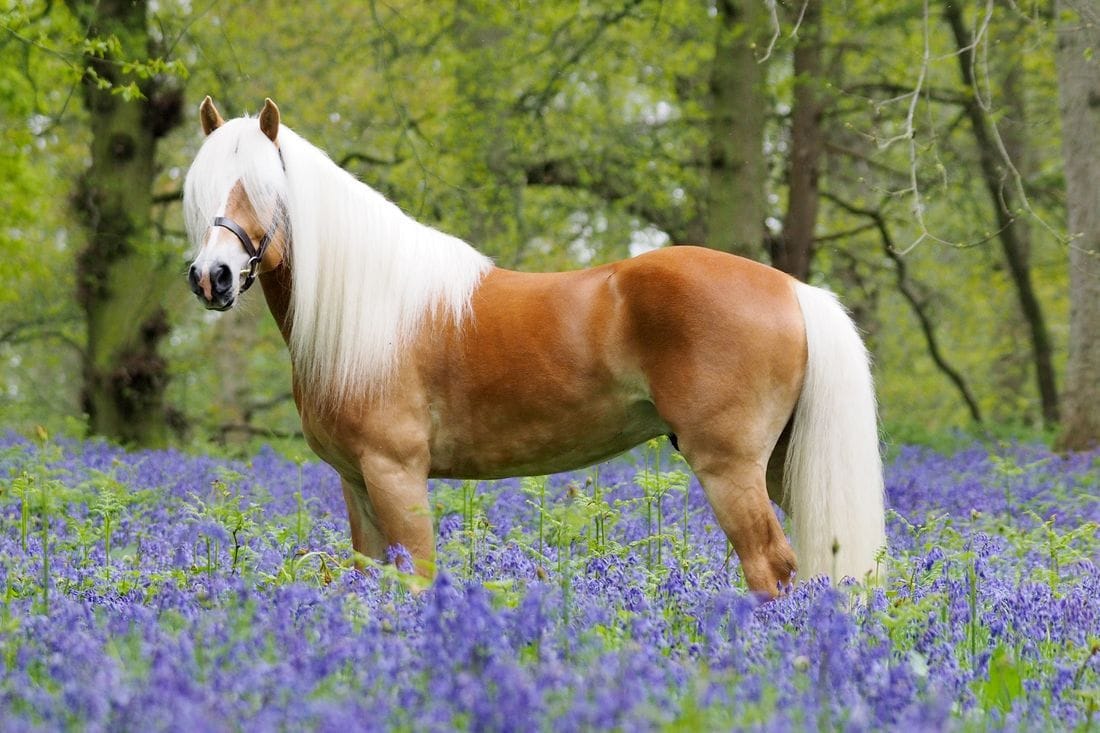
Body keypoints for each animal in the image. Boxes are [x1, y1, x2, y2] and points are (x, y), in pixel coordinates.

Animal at [184, 97, 886, 597]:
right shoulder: (355, 482)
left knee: (770, 567)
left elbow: (416, 580)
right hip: (779, 465)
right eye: (204, 192)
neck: (369, 309)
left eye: (263, 190)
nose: (211, 277)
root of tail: (792, 288)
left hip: (730, 468)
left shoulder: (394, 472)